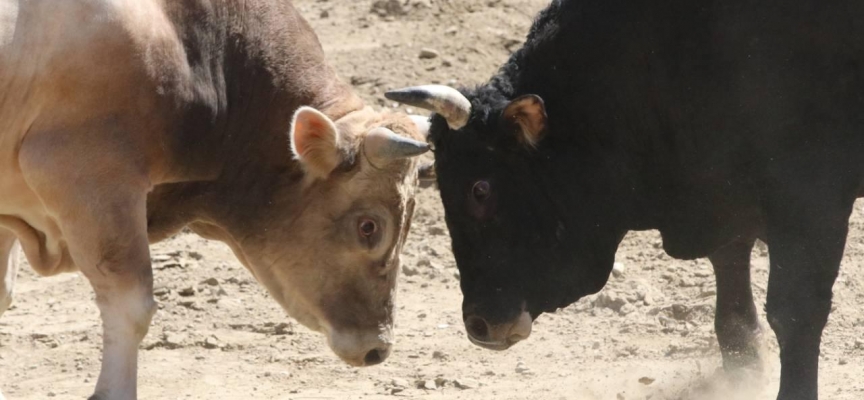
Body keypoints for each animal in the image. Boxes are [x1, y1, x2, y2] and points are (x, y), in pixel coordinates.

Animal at [388, 0, 864, 400]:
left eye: (480, 189)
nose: (479, 324)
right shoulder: (719, 188)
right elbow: (731, 306)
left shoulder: (808, 197)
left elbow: (794, 312)